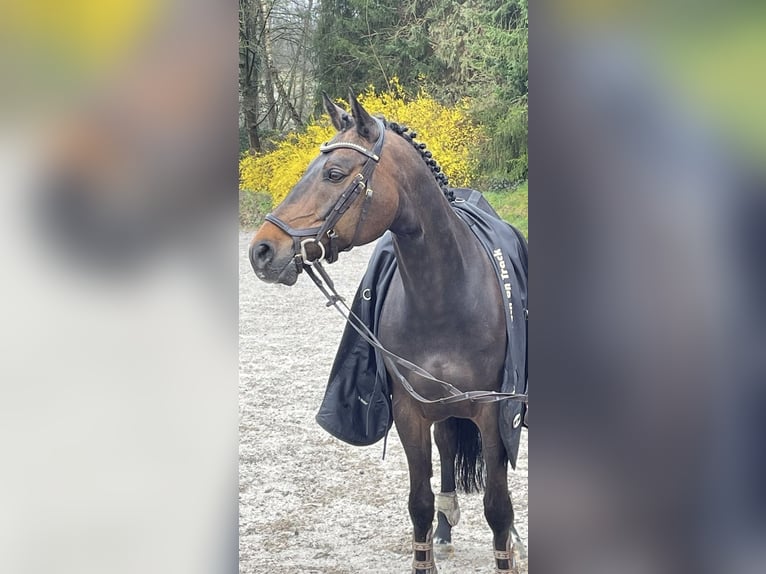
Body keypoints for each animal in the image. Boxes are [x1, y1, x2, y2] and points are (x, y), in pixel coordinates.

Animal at [249, 91, 525, 574]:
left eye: (335, 173)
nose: (262, 250)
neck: (445, 296)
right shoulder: (410, 412)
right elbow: (419, 502)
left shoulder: (495, 413)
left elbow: (498, 507)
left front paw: (506, 544)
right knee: (446, 446)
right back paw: (445, 528)